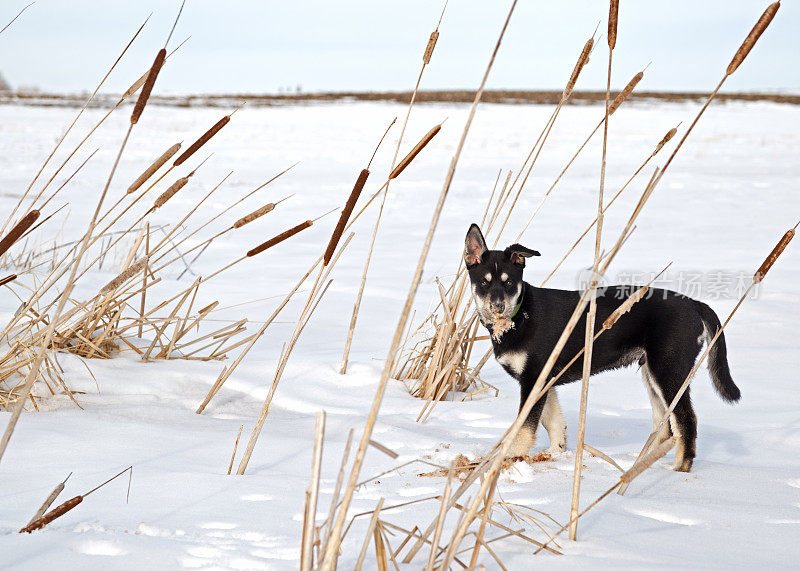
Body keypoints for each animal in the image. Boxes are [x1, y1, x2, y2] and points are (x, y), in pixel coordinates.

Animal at [466, 225, 740, 474]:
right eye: (483, 283)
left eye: (509, 282)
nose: (498, 306)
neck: (520, 316)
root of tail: (694, 303)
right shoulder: (543, 379)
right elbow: (553, 422)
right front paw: (556, 454)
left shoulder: (534, 378)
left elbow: (524, 428)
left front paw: (506, 460)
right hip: (652, 372)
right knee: (664, 425)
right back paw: (640, 466)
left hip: (669, 370)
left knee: (685, 420)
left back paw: (679, 468)